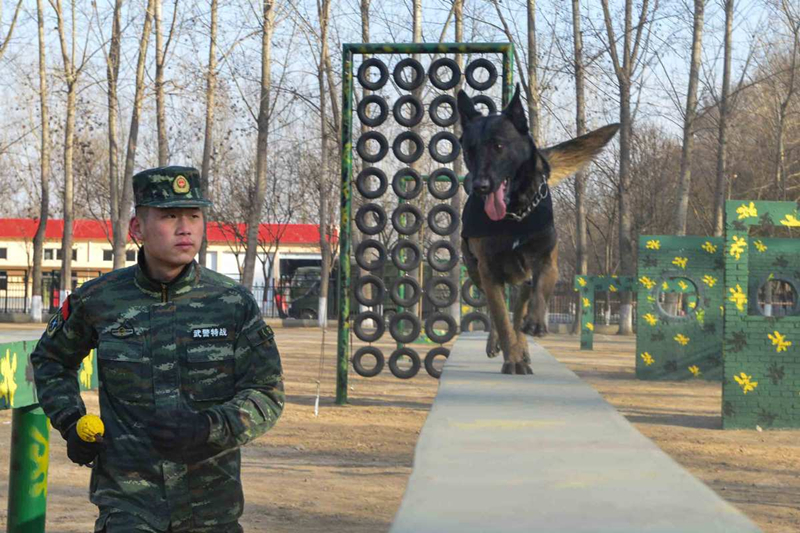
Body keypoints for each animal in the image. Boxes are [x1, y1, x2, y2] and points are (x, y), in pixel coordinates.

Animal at [456, 85, 620, 372]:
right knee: (497, 313)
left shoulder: (547, 259)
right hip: (477, 272)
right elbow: (501, 318)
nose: (480, 186)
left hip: (520, 277)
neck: (515, 214)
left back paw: (524, 347)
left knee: (521, 306)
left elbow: (540, 291)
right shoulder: (489, 272)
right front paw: (510, 358)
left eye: (498, 146)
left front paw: (534, 324)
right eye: (470, 150)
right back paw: (504, 347)